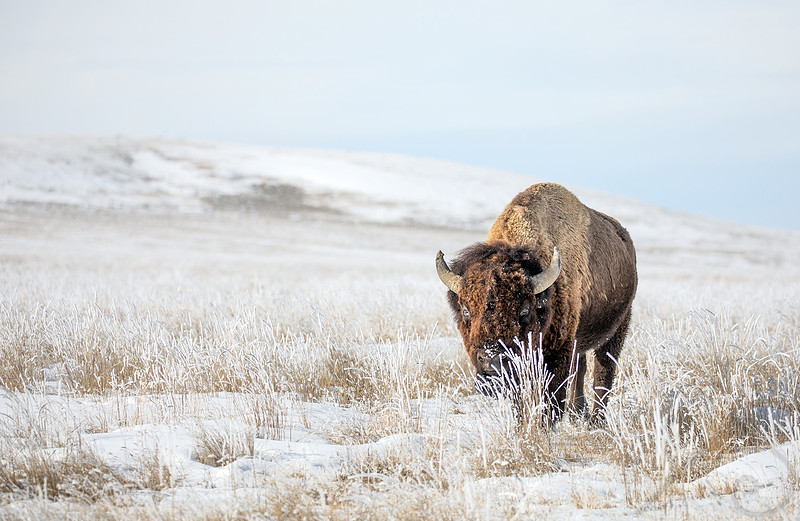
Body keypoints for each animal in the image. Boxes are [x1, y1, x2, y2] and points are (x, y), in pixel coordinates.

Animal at [436, 183, 637, 422]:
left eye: (524, 310)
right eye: (466, 310)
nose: (493, 362)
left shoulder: (558, 352)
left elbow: (552, 401)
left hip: (618, 328)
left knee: (603, 373)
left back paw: (597, 421)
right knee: (581, 368)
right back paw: (578, 413)